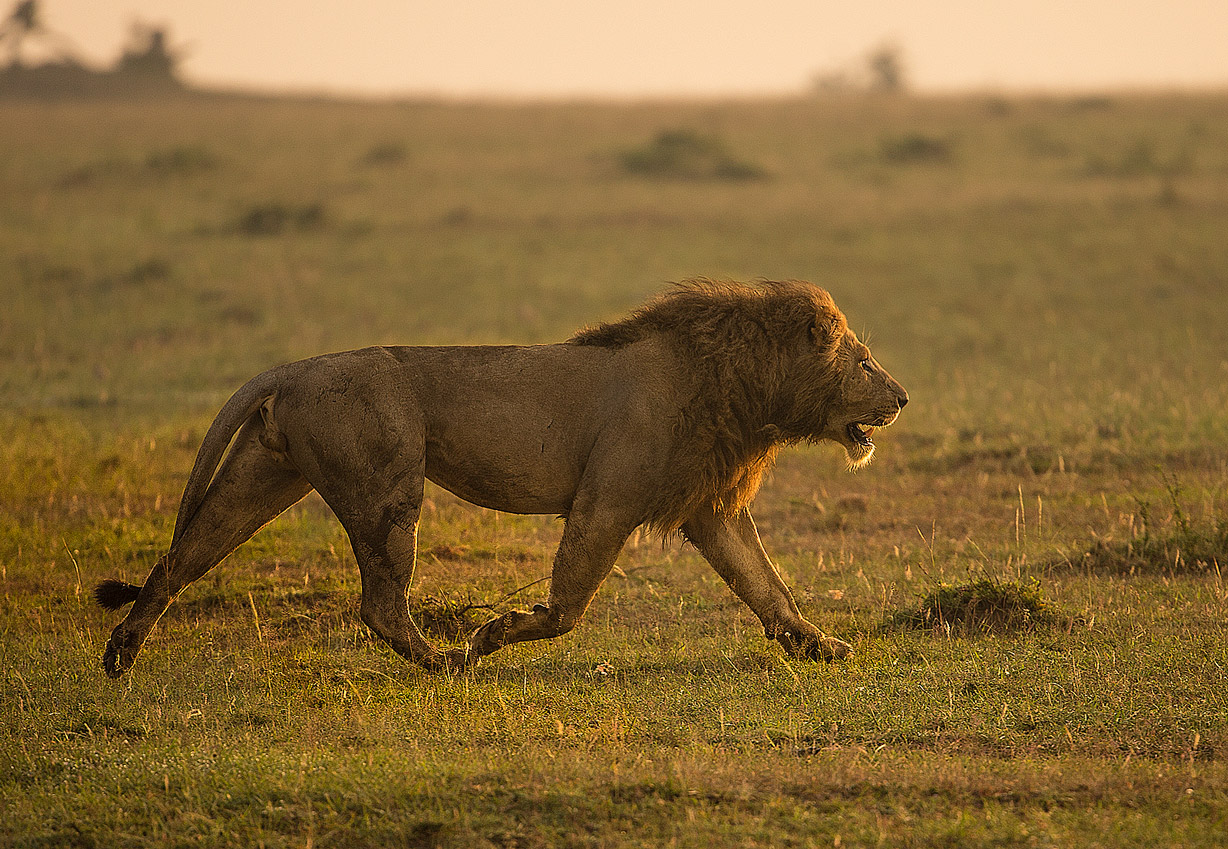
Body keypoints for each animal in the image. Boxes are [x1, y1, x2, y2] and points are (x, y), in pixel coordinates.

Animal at [95, 278, 908, 678]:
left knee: (178, 560)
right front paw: (495, 633)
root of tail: (291, 368)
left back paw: (121, 654)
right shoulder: (607, 500)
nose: (901, 397)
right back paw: (449, 662)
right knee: (380, 605)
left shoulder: (709, 507)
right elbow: (567, 607)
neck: (744, 384)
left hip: (264, 475)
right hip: (389, 489)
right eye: (864, 360)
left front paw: (823, 648)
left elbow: (768, 587)